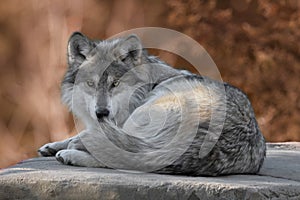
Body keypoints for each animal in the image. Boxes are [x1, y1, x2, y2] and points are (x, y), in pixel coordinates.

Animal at [38, 32, 266, 176]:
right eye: (90, 84)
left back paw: (70, 154)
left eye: (115, 83)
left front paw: (69, 145)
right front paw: (51, 145)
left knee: (124, 158)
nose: (101, 112)